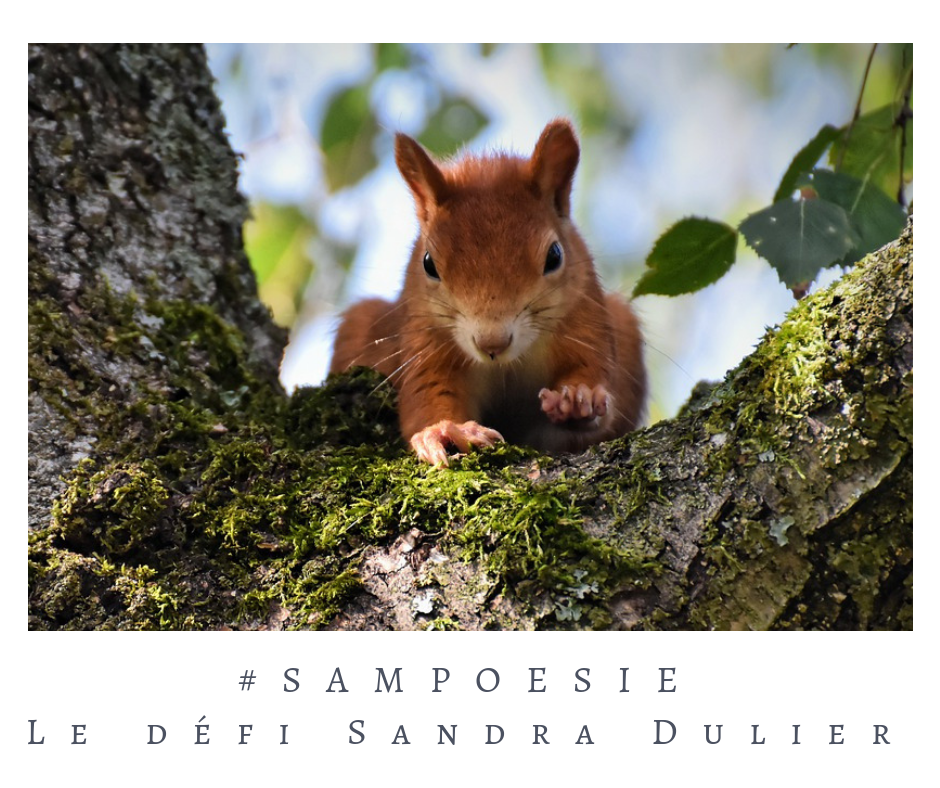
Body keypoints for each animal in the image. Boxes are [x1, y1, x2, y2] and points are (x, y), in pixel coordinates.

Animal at [330, 119, 648, 464]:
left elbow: (592, 371)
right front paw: (444, 430)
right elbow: (427, 394)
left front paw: (579, 398)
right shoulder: (424, 340)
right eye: (428, 263)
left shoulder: (585, 318)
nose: (492, 343)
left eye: (555, 256)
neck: (508, 365)